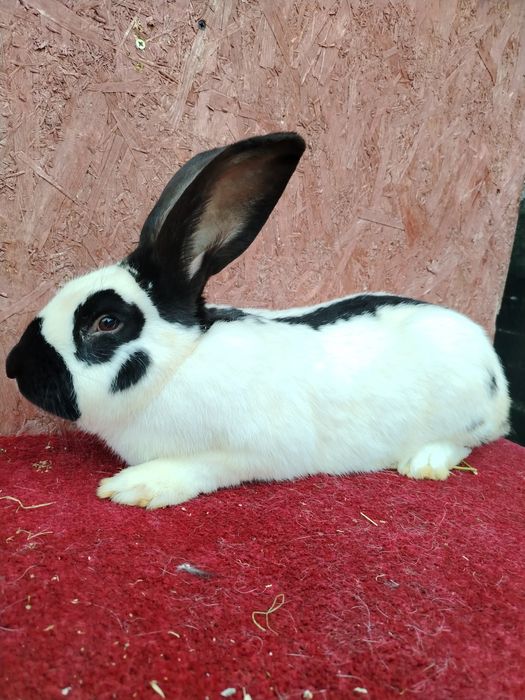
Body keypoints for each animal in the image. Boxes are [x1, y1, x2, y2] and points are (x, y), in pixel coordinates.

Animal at [6, 132, 510, 509]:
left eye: (106, 322)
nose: (13, 367)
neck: (180, 364)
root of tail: (496, 373)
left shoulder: (245, 451)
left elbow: (198, 467)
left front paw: (134, 487)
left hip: (459, 414)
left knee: (466, 442)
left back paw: (423, 463)